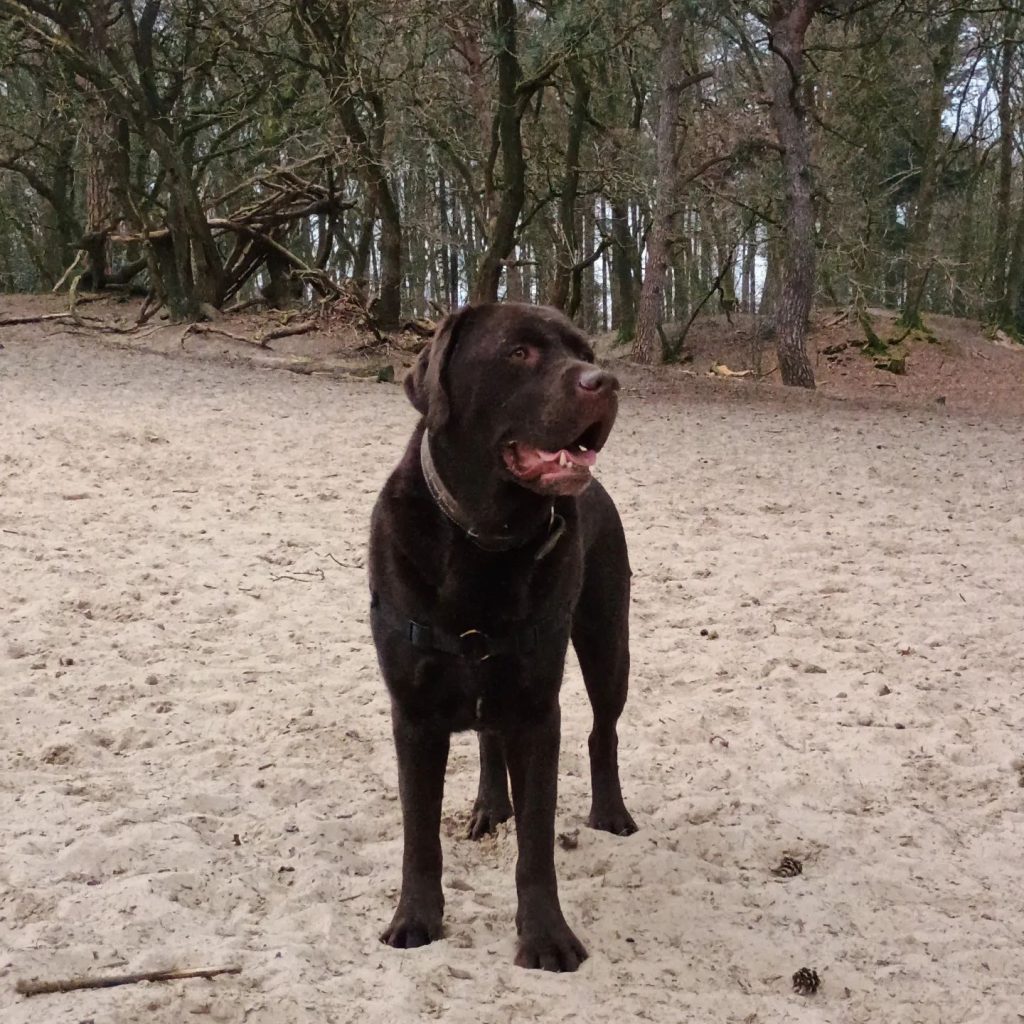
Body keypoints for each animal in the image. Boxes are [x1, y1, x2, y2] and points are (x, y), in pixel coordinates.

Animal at [368, 301, 634, 966]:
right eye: (519, 352)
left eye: (585, 351)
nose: (606, 381)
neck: (483, 540)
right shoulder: (413, 712)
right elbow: (419, 832)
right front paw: (415, 919)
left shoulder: (538, 710)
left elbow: (537, 842)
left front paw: (546, 937)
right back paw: (491, 804)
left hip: (607, 639)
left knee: (604, 729)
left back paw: (611, 811)